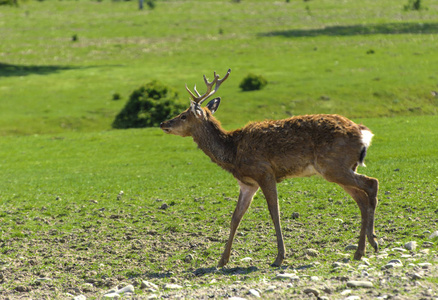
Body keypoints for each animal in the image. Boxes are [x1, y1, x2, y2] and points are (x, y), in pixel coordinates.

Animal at [159, 68, 378, 268]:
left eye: (183, 115)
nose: (163, 123)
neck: (233, 152)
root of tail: (364, 133)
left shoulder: (264, 172)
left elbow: (274, 213)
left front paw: (279, 257)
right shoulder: (247, 184)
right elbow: (235, 217)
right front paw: (222, 260)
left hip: (334, 165)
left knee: (371, 184)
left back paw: (373, 240)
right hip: (340, 168)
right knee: (361, 197)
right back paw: (360, 251)